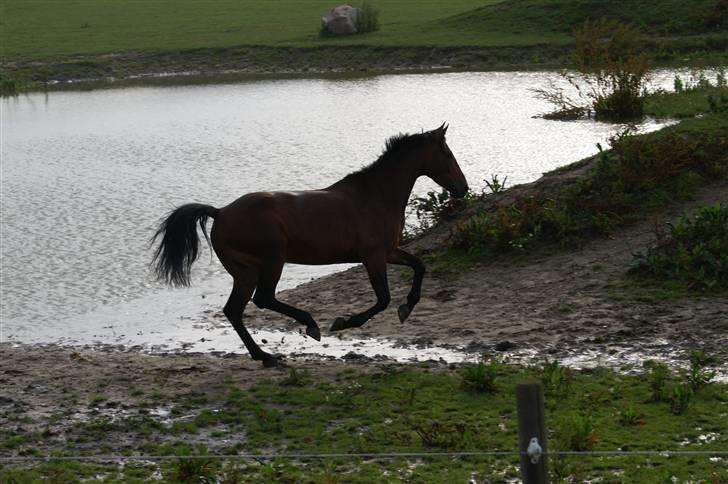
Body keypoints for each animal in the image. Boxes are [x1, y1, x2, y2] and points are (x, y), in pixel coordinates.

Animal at [153, 124, 470, 366]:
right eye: (447, 153)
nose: (463, 187)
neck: (375, 196)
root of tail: (220, 212)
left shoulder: (389, 252)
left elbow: (419, 266)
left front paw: (407, 308)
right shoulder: (373, 257)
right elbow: (383, 299)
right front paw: (343, 322)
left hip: (244, 271)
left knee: (234, 310)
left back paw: (265, 355)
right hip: (272, 260)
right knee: (262, 299)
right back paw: (306, 328)